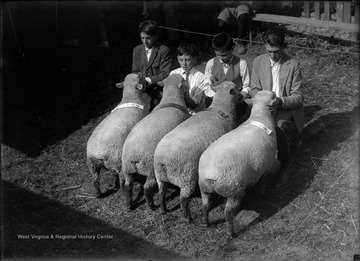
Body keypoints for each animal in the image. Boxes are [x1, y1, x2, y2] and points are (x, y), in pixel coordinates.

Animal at [121, 72, 190, 209]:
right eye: (183, 80)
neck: (171, 98)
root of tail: (133, 156)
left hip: (127, 169)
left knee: (128, 185)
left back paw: (129, 205)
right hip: (149, 169)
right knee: (147, 187)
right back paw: (151, 205)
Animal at [153, 80, 242, 220]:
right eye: (235, 88)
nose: (243, 95)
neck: (221, 108)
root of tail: (162, 160)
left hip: (160, 176)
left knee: (161, 192)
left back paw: (163, 210)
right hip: (185, 177)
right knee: (183, 199)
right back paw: (187, 218)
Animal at [197, 90, 282, 238]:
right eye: (273, 97)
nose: (276, 94)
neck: (261, 117)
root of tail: (210, 174)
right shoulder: (266, 167)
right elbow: (263, 182)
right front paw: (262, 194)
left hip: (204, 188)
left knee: (205, 206)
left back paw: (206, 223)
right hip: (233, 190)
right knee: (228, 213)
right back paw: (231, 232)